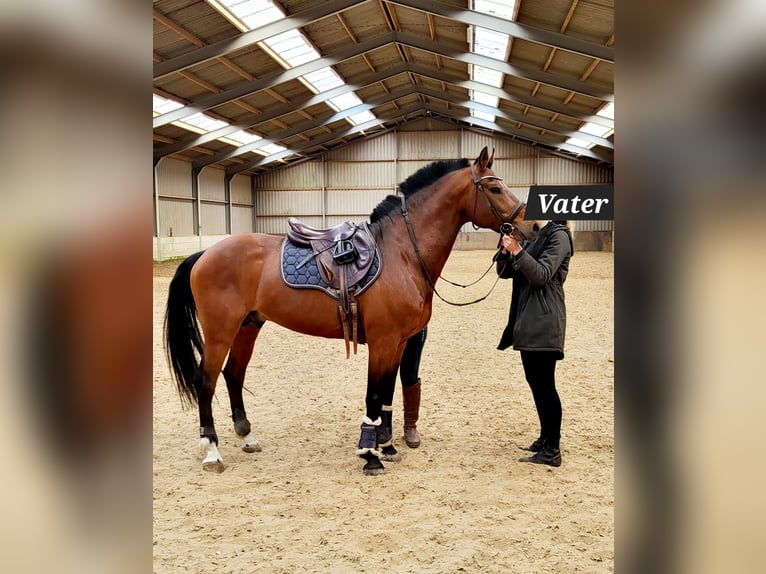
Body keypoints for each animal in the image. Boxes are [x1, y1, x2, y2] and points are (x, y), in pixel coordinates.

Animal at [164, 146, 538, 475]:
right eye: (494, 187)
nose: (532, 226)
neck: (401, 252)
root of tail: (206, 253)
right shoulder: (384, 342)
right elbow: (374, 395)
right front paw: (370, 456)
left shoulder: (398, 343)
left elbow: (387, 395)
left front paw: (386, 448)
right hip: (220, 332)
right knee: (206, 381)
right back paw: (212, 451)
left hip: (248, 326)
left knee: (233, 375)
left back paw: (247, 437)